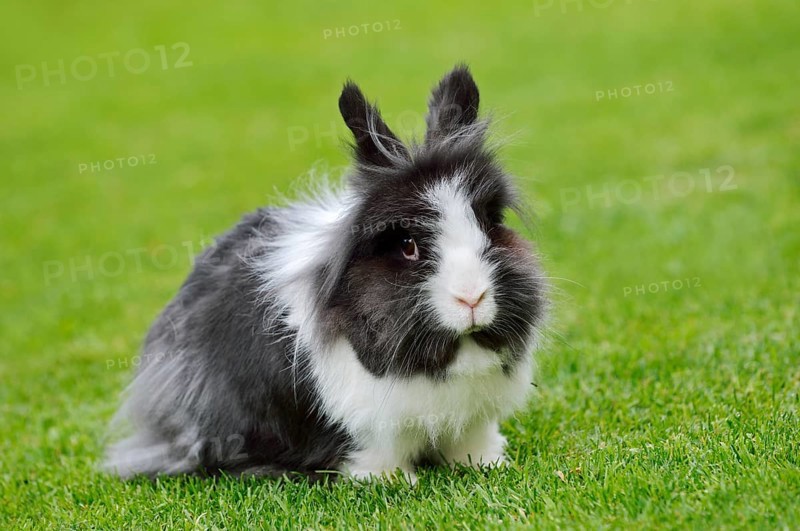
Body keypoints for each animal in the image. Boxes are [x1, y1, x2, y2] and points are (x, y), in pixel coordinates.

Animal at [103, 64, 548, 482]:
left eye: (490, 223)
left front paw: (487, 465)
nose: (471, 297)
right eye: (408, 247)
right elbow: (376, 454)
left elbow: (473, 442)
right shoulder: (367, 425)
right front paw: (393, 481)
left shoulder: (474, 419)